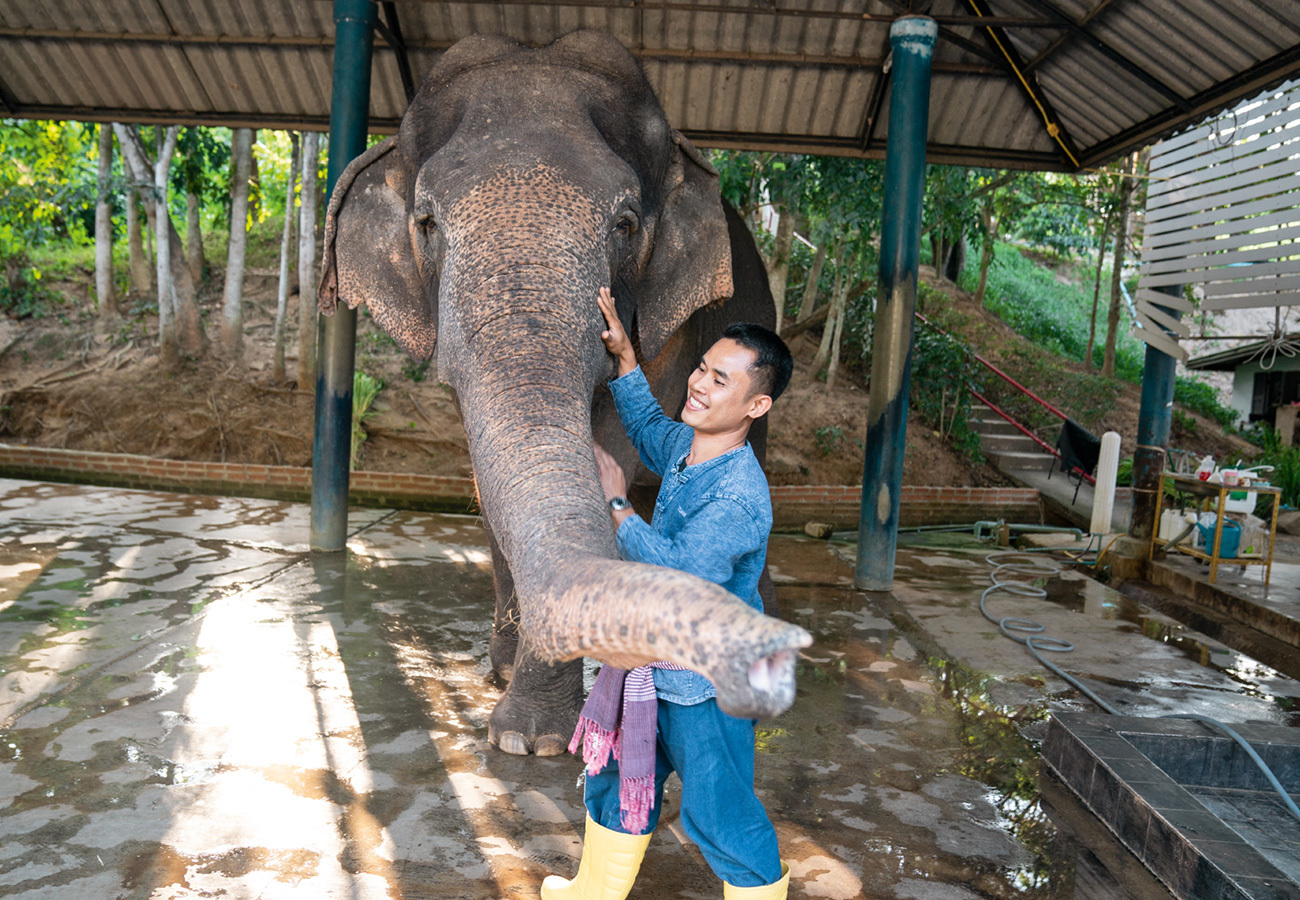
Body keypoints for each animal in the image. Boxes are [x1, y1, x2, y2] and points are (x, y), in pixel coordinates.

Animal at [319, 28, 806, 754]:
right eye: (427, 222)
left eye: (625, 224)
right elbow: (487, 477)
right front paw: (512, 704)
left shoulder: (668, 330)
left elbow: (621, 437)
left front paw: (533, 740)